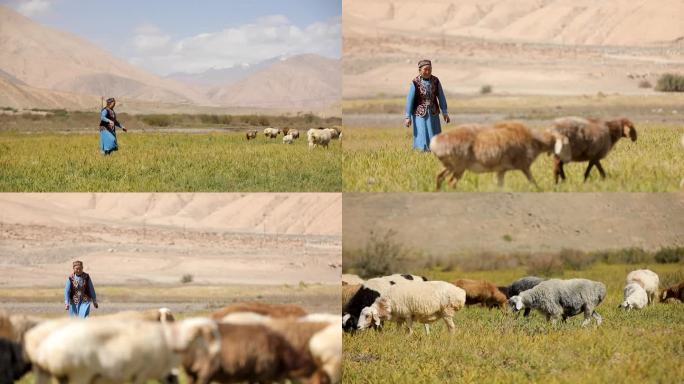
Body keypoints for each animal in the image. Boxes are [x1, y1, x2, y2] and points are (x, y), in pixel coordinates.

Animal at [432, 121, 572, 189]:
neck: (534, 139)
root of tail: (435, 141)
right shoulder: (525, 168)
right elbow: (534, 183)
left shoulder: (501, 171)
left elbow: (500, 186)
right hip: (459, 169)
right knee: (451, 183)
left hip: (450, 167)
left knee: (439, 177)